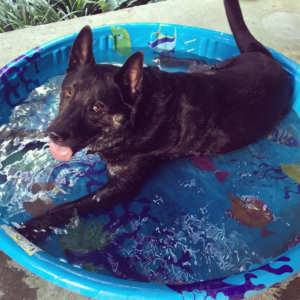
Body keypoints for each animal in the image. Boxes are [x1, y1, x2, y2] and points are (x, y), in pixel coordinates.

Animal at [16, 0, 290, 241]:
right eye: (68, 93)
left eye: (97, 107)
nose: (55, 134)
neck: (138, 114)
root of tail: (267, 57)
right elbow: (33, 137)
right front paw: (19, 138)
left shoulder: (121, 187)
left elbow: (68, 207)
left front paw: (30, 228)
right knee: (200, 62)